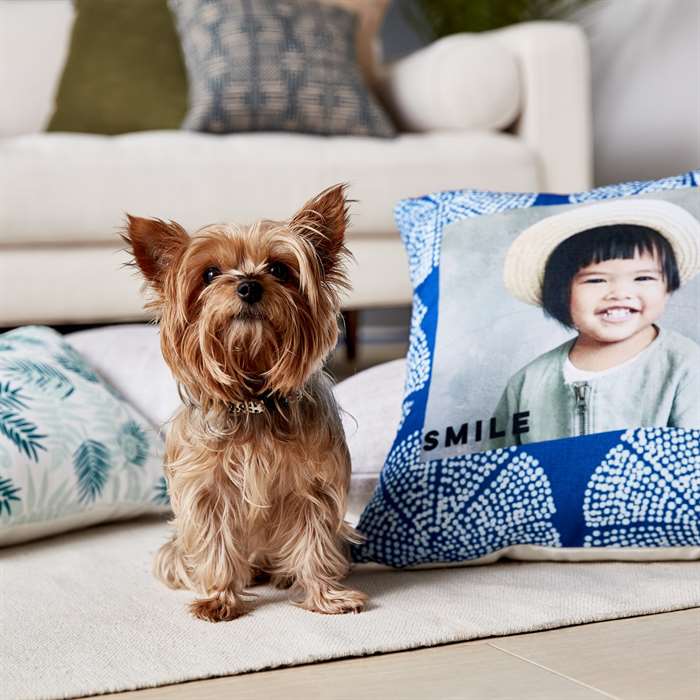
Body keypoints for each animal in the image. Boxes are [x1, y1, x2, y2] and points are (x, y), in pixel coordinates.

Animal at [123, 186, 370, 624]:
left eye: (280, 269)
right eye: (209, 274)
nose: (249, 286)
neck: (254, 399)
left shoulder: (314, 487)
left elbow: (315, 541)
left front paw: (325, 596)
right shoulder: (206, 492)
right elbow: (215, 543)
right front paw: (219, 598)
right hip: (172, 551)